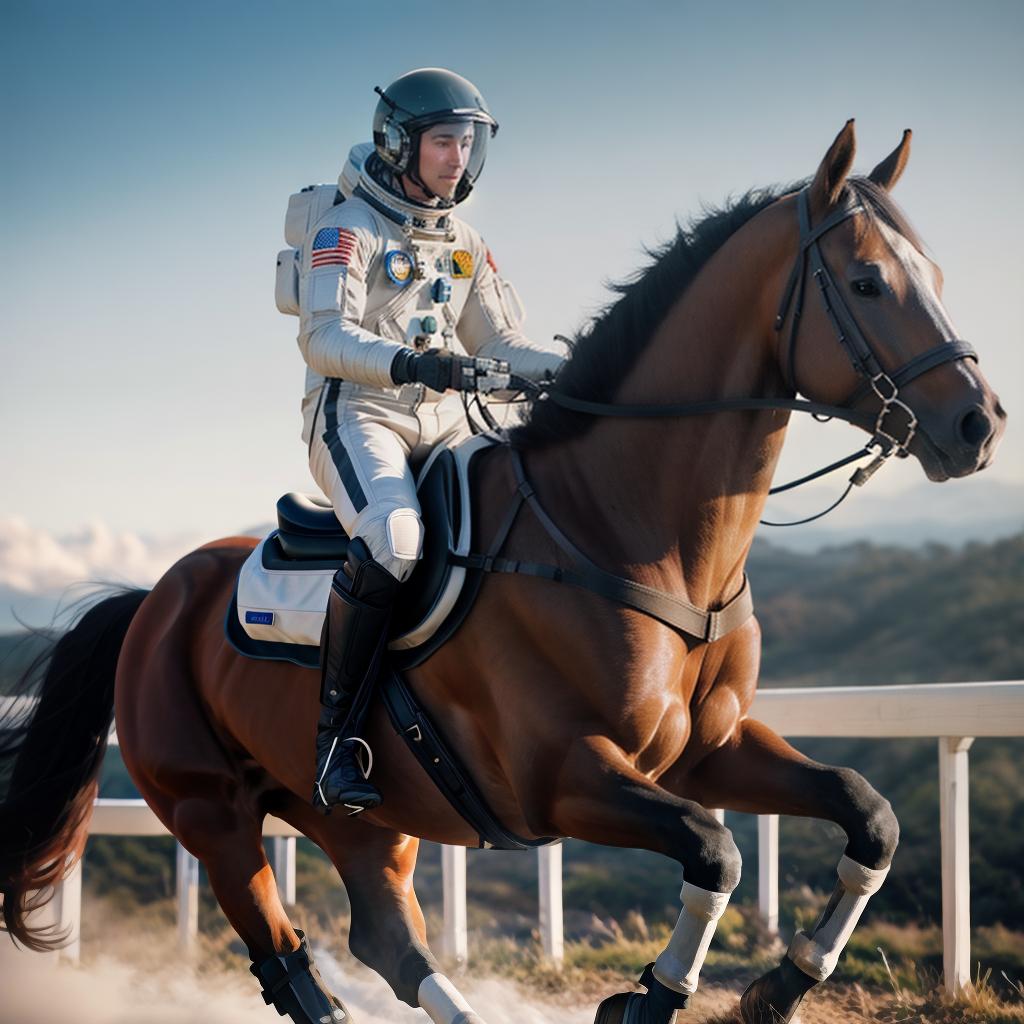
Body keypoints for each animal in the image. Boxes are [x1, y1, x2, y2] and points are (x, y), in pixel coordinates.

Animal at [2, 121, 1007, 1024]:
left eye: (936, 277)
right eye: (868, 281)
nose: (980, 424)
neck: (625, 531)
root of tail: (154, 600)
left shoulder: (711, 751)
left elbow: (869, 814)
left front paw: (779, 985)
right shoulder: (565, 777)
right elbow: (716, 853)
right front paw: (647, 1000)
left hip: (363, 822)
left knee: (387, 940)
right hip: (214, 814)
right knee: (290, 963)